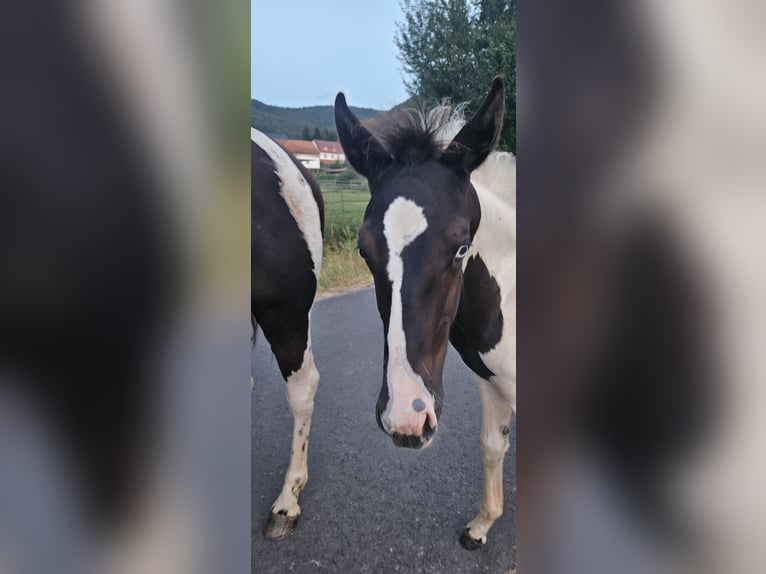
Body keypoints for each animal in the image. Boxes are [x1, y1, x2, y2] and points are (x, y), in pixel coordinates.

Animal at [334, 77, 515, 549]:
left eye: (462, 247)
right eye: (364, 249)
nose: (406, 418)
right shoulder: (492, 382)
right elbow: (492, 447)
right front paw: (482, 525)